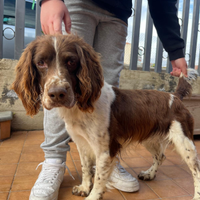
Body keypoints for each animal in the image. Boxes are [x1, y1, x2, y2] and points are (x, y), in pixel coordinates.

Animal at [12, 34, 200, 200]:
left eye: (71, 61)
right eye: (41, 63)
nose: (57, 93)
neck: (80, 108)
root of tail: (175, 96)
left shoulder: (104, 150)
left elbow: (100, 178)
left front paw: (93, 196)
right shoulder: (82, 143)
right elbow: (86, 169)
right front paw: (84, 188)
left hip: (185, 142)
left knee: (196, 171)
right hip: (150, 138)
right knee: (160, 156)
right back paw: (149, 174)